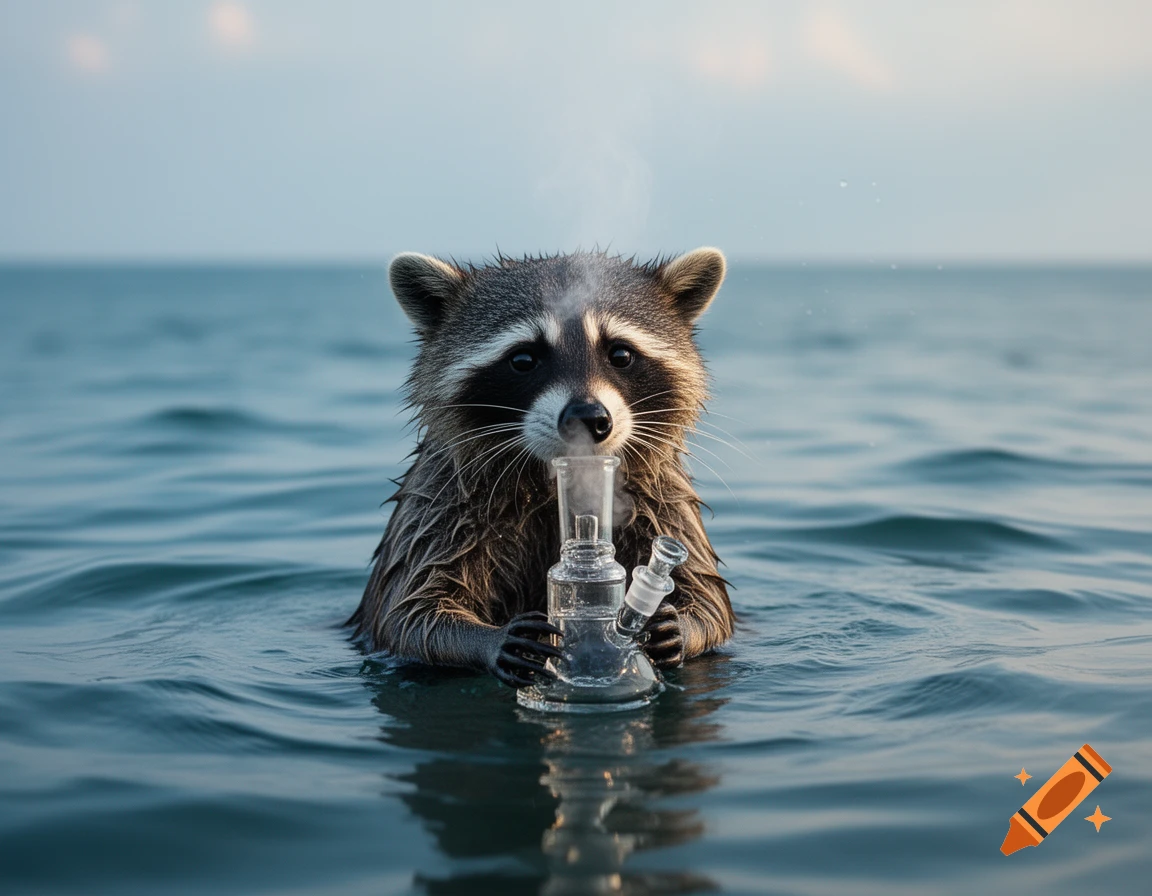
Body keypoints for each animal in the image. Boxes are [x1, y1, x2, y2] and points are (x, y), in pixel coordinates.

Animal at [348, 248, 735, 687]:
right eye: (523, 359)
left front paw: (683, 627)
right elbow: (409, 612)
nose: (588, 418)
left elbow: (709, 601)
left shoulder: (663, 499)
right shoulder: (438, 500)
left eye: (620, 354)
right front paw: (487, 640)